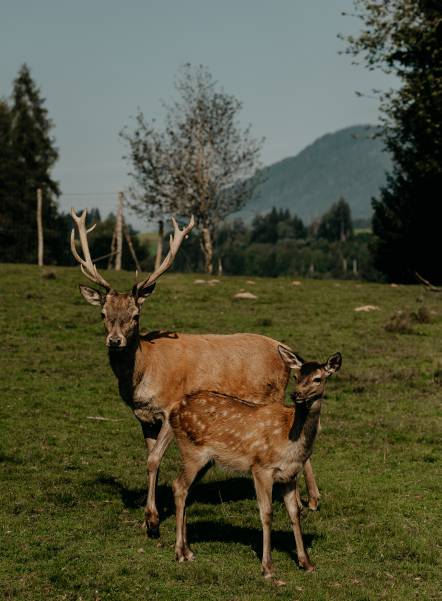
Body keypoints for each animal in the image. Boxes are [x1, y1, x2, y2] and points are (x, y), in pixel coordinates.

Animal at [71, 209, 322, 536]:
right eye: (103, 313)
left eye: (135, 315)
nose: (115, 341)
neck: (143, 372)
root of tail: (285, 350)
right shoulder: (144, 417)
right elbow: (150, 459)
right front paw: (147, 514)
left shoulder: (169, 408)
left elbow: (154, 459)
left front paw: (153, 519)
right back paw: (311, 499)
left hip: (273, 395)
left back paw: (310, 500)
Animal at [169, 346, 342, 576]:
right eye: (296, 376)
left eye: (318, 378)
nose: (296, 394)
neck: (290, 439)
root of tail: (173, 411)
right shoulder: (261, 467)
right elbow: (266, 513)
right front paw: (267, 567)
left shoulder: (290, 474)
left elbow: (295, 512)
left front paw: (306, 563)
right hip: (192, 451)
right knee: (178, 486)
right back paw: (180, 553)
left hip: (205, 461)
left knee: (186, 490)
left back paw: (188, 550)